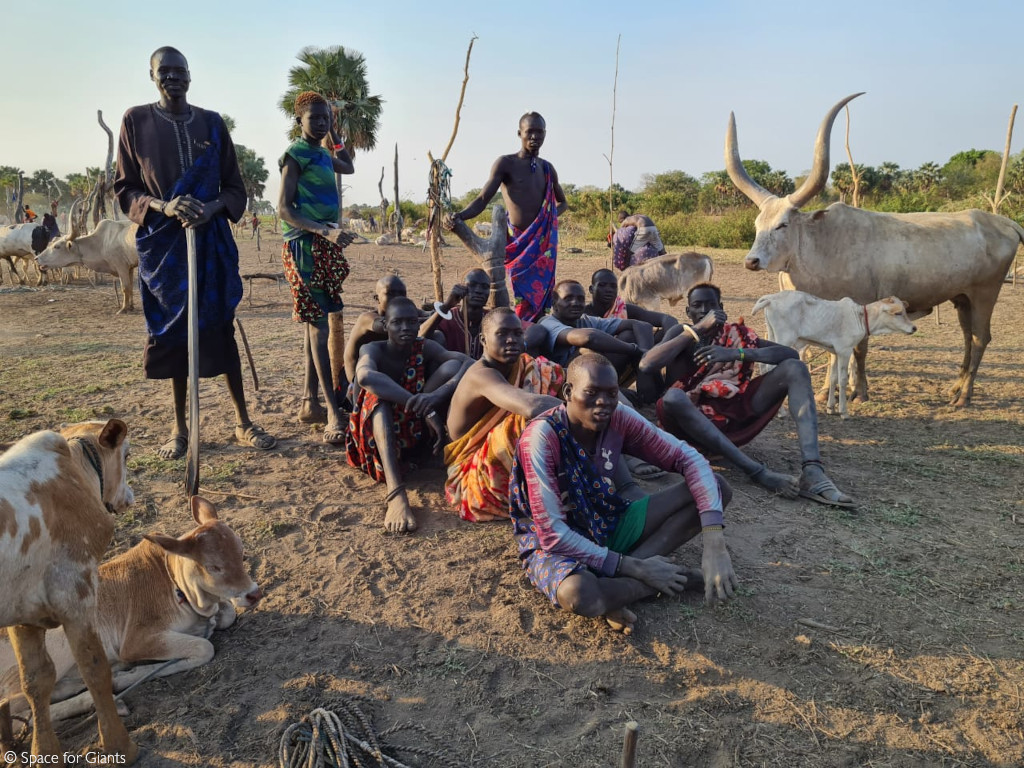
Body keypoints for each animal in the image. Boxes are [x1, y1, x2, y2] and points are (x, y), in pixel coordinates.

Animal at [0, 421, 136, 765]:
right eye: (127, 454)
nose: (129, 496)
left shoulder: (23, 613)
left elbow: (36, 681)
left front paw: (43, 754)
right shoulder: (75, 590)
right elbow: (94, 668)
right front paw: (119, 745)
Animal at [0, 495, 262, 724]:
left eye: (241, 553)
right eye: (213, 567)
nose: (254, 593)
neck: (176, 585)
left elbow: (227, 615)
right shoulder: (136, 640)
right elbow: (204, 647)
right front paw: (127, 676)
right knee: (22, 708)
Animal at [749, 290, 917, 421]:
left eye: (905, 311)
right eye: (898, 313)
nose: (914, 328)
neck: (859, 318)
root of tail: (771, 298)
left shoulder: (834, 351)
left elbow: (833, 377)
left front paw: (831, 408)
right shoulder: (845, 350)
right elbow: (842, 380)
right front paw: (844, 411)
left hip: (772, 335)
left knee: (764, 364)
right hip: (785, 338)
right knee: (770, 367)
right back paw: (781, 412)